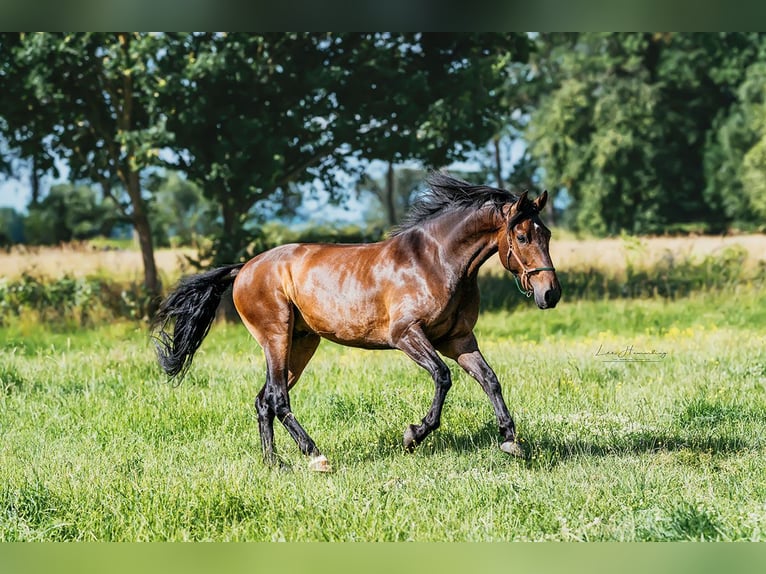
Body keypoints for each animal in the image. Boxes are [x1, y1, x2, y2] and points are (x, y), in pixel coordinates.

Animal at [153, 173, 564, 474]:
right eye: (522, 236)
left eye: (546, 234)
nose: (550, 294)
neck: (435, 260)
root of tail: (244, 269)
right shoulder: (407, 335)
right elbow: (443, 377)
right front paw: (413, 435)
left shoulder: (459, 339)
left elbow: (490, 379)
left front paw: (510, 441)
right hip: (276, 338)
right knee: (277, 398)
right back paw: (315, 456)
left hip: (302, 343)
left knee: (263, 400)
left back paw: (275, 463)